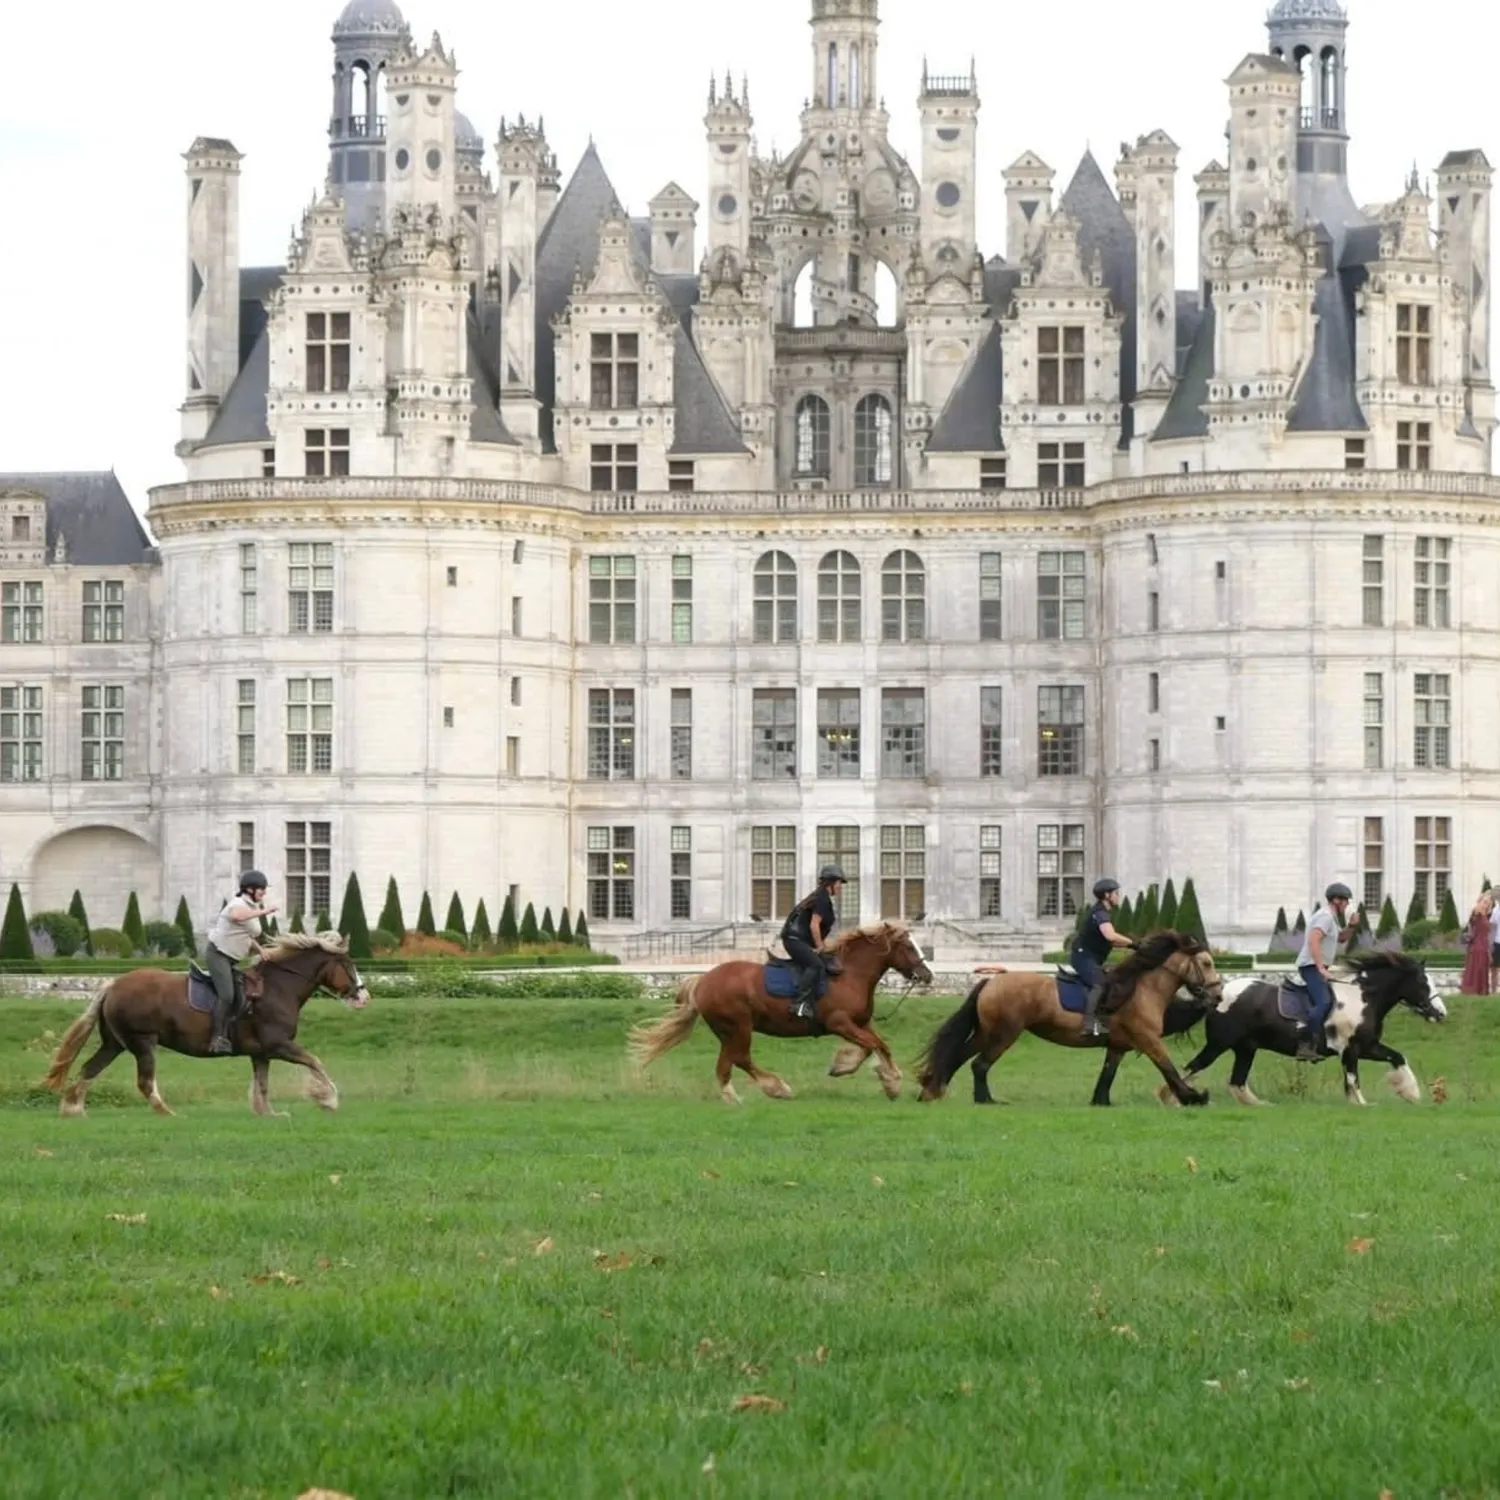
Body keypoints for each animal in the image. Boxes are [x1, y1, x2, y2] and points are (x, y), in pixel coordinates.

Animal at [41, 932, 370, 1118]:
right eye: (348, 964)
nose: (363, 996)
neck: (278, 988)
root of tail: (112, 985)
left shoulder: (261, 1053)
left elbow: (263, 1084)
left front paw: (268, 1113)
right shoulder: (279, 1045)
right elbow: (315, 1062)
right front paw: (328, 1099)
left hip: (115, 1044)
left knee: (88, 1069)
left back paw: (72, 1110)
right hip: (143, 1043)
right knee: (145, 1082)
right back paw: (167, 1113)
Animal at [628, 921, 933, 1103]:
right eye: (908, 946)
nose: (927, 975)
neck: (849, 974)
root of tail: (703, 980)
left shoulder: (860, 1023)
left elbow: (879, 1045)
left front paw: (880, 1078)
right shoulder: (840, 1023)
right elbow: (872, 1046)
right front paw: (885, 1079)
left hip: (728, 1031)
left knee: (728, 1063)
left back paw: (735, 1097)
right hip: (738, 1027)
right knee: (739, 1059)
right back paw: (774, 1088)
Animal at [916, 930, 1224, 1108]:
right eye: (1207, 963)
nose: (1218, 995)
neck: (1141, 988)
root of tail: (991, 982)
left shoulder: (1118, 1046)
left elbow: (1107, 1076)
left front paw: (1100, 1102)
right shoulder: (1148, 1040)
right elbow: (1168, 1068)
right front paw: (1194, 1097)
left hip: (986, 1033)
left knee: (959, 1056)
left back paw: (933, 1090)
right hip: (1004, 1034)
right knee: (979, 1064)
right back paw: (985, 1100)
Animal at [1152, 950, 1447, 1108]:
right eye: (1423, 982)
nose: (1441, 1013)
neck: (1362, 998)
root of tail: (1218, 994)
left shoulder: (1366, 1047)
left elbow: (1397, 1058)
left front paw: (1410, 1093)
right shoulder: (1351, 1049)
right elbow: (1354, 1080)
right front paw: (1366, 1104)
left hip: (1245, 1049)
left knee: (1237, 1082)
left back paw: (1261, 1106)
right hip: (1219, 1044)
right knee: (1194, 1067)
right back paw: (1173, 1099)